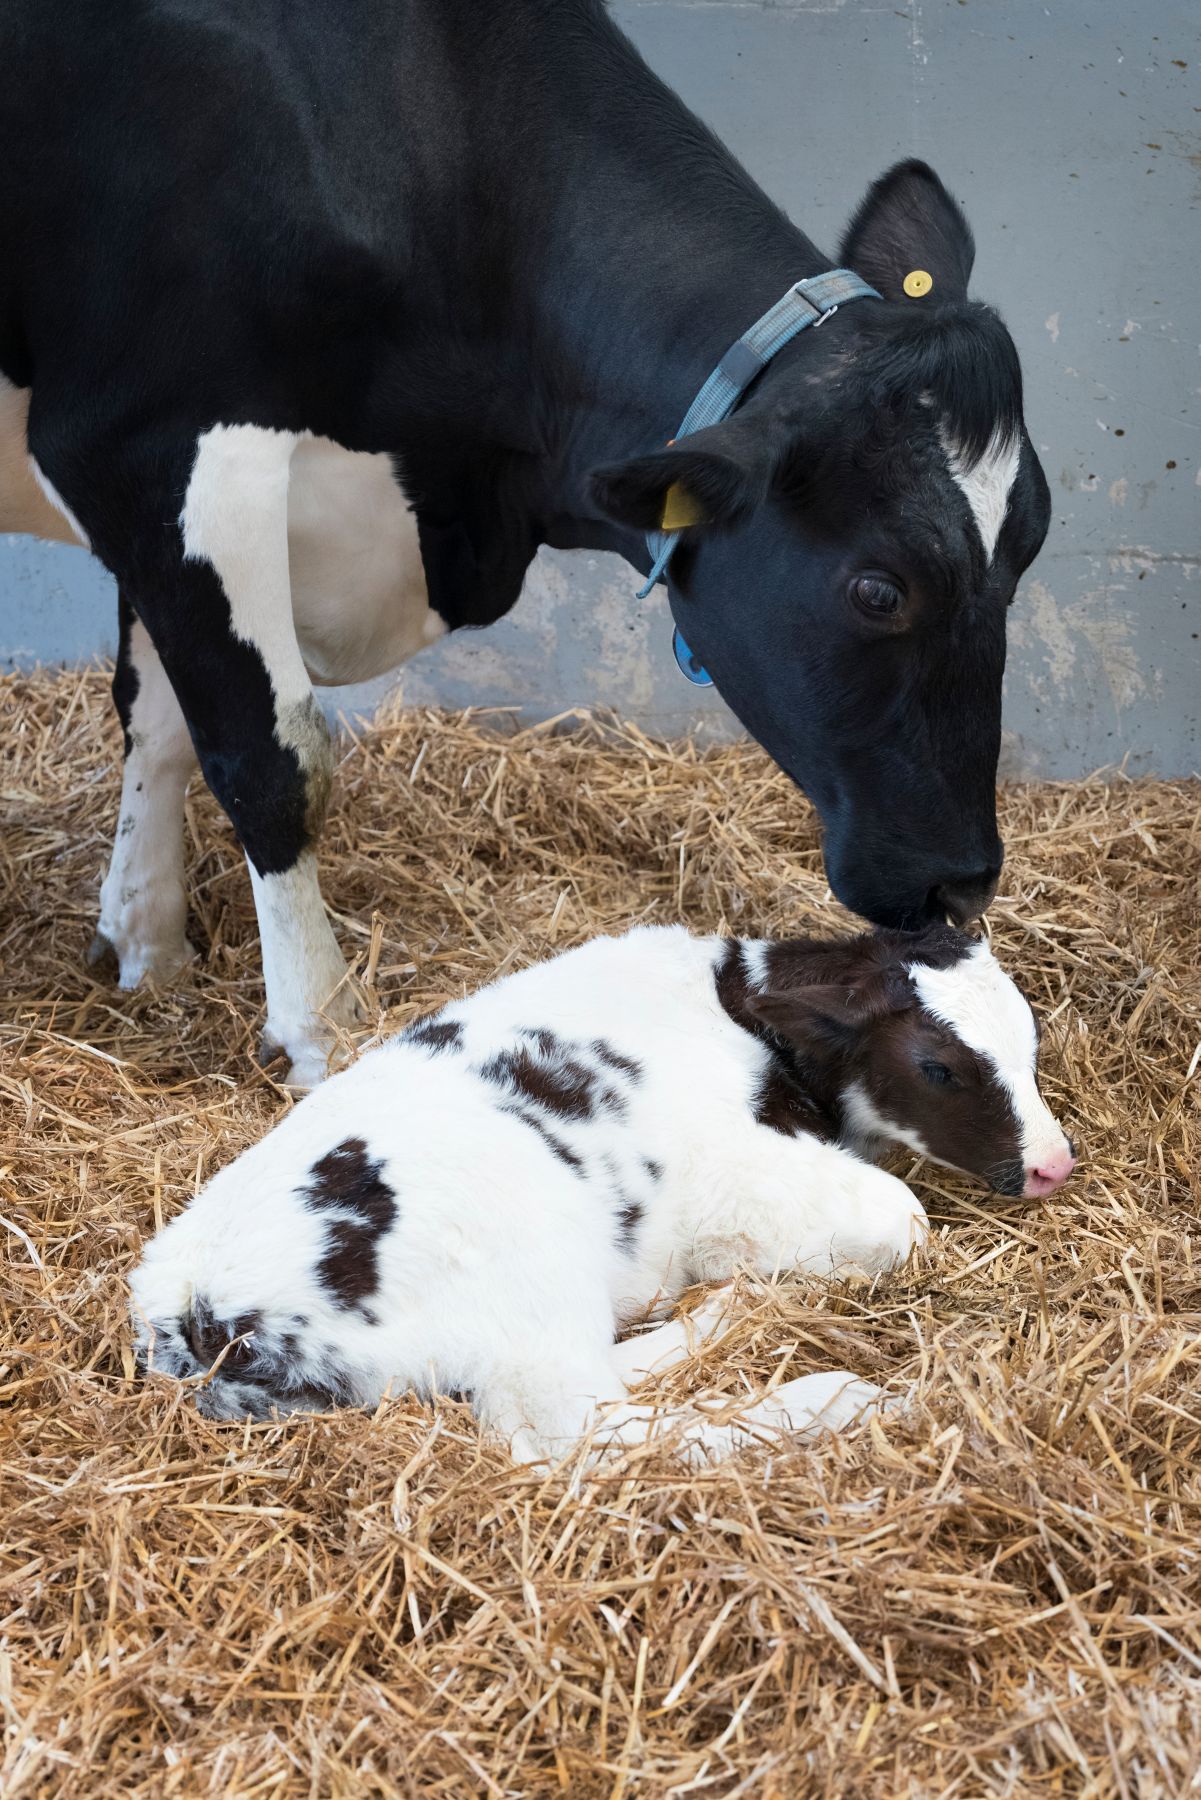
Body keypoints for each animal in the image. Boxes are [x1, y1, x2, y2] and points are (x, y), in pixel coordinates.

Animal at [0, 0, 1051, 1080]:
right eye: (878, 590)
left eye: (1031, 546)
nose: (964, 883)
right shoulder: (156, 442)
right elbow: (271, 756)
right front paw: (319, 1029)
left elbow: (157, 721)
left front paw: (145, 945)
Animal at [134, 914, 1080, 1461]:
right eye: (936, 1066)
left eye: (1029, 1042)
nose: (1051, 1165)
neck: (731, 1002)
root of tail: (194, 1310)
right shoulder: (736, 1173)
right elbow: (900, 1219)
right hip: (527, 1272)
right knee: (580, 1430)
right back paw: (830, 1398)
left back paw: (725, 1311)